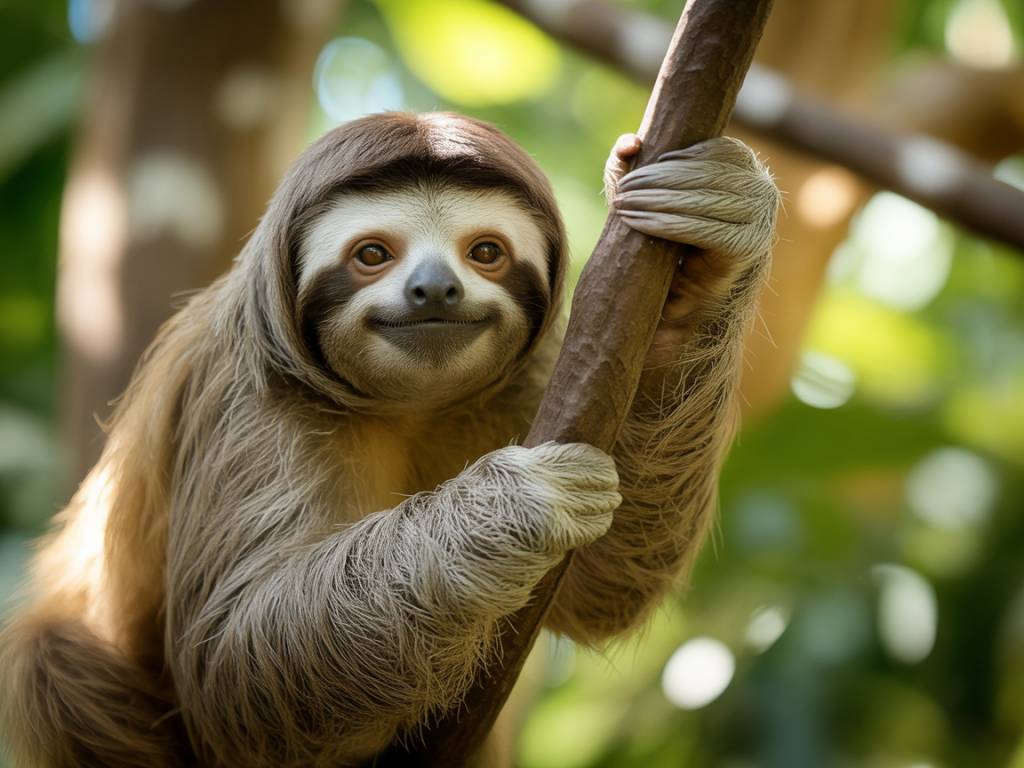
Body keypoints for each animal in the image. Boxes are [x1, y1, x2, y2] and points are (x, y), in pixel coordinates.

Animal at [0, 112, 778, 767]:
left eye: (487, 252)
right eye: (372, 254)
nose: (434, 288)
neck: (409, 406)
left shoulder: (529, 385)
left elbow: (603, 584)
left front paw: (716, 240)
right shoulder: (244, 402)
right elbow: (229, 659)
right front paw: (517, 503)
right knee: (53, 660)